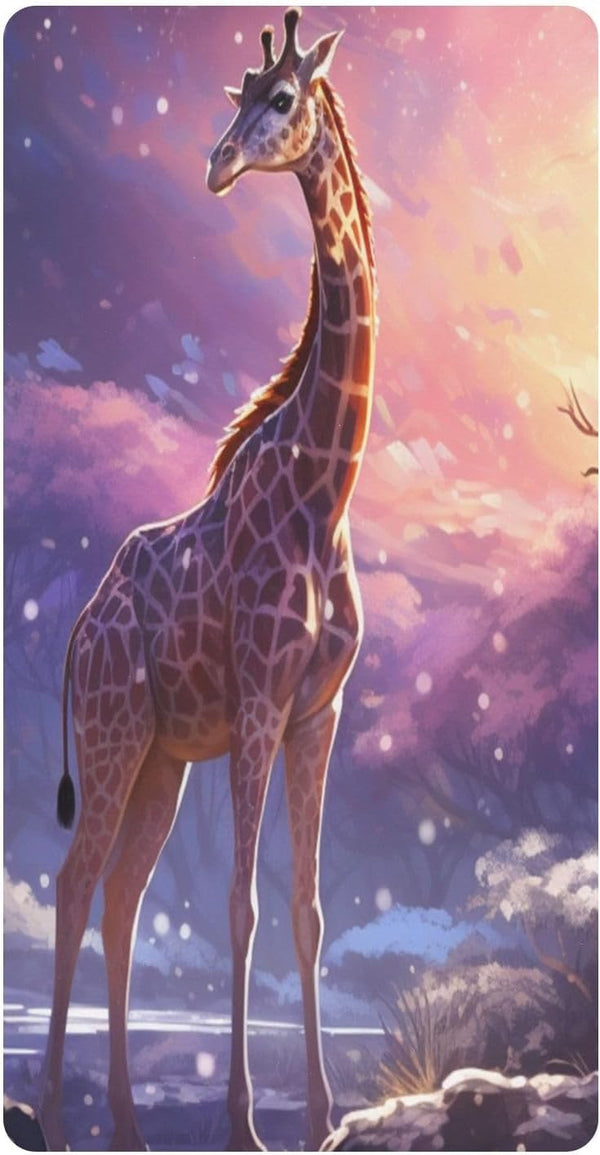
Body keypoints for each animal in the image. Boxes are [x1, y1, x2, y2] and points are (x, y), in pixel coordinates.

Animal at [38, 9, 377, 1152]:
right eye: (239, 93)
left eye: (281, 97)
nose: (218, 162)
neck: (328, 485)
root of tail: (79, 626)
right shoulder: (262, 701)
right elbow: (243, 905)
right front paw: (243, 1123)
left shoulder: (319, 709)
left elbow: (309, 911)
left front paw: (320, 1116)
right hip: (111, 736)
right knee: (75, 884)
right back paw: (54, 1114)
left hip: (159, 758)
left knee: (121, 901)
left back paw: (127, 1125)